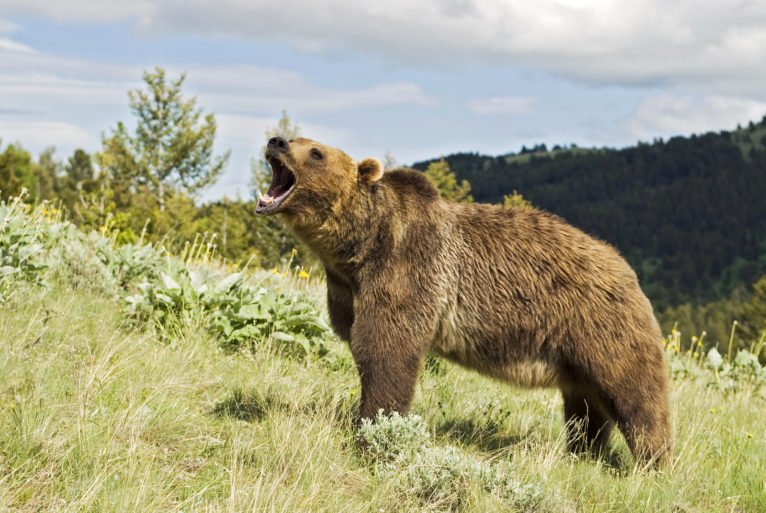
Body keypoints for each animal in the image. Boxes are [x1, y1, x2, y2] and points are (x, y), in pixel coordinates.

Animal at [256, 135, 672, 464]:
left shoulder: (410, 268)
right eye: (296, 139)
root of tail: (627, 270)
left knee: (635, 394)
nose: (276, 141)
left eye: (315, 151)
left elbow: (387, 349)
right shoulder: (346, 289)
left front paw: (372, 431)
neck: (360, 247)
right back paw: (582, 452)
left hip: (602, 325)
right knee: (586, 406)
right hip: (576, 353)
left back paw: (653, 461)